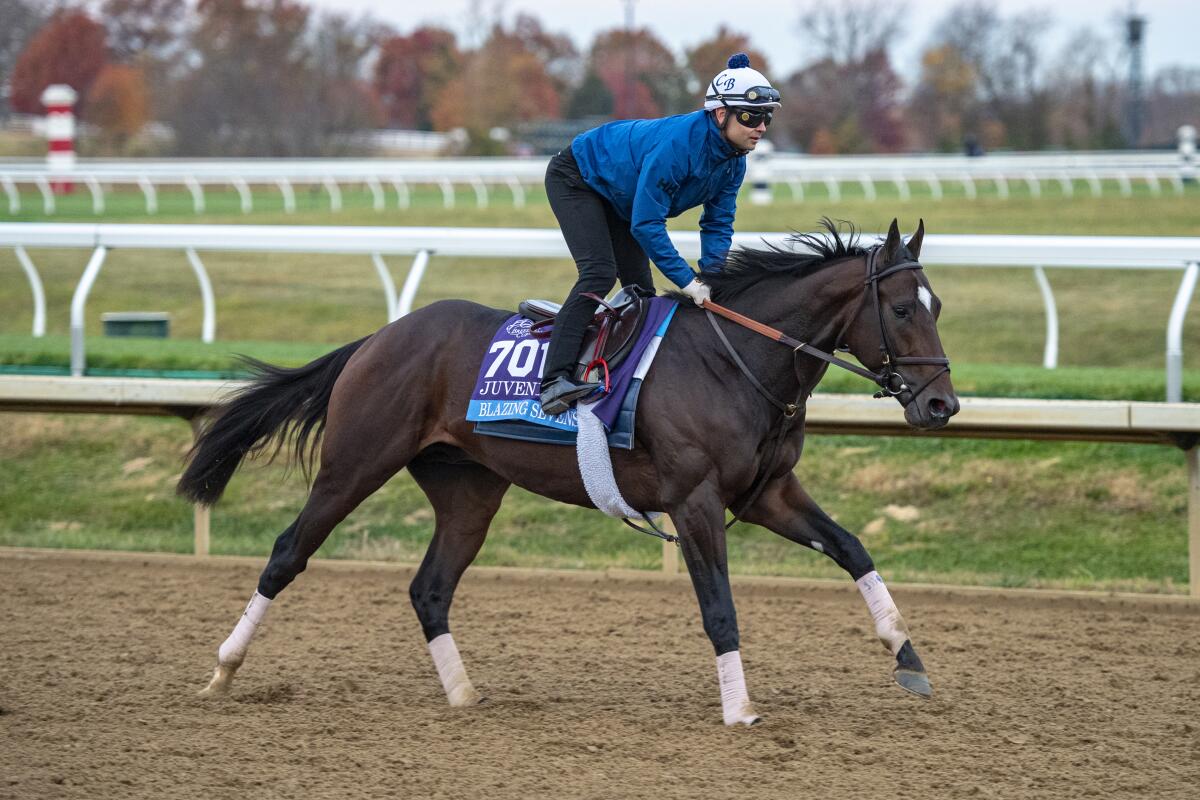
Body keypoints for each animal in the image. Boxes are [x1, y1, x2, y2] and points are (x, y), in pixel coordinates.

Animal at [180, 217, 964, 724]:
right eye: (902, 308)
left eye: (939, 304)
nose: (942, 403)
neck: (735, 361)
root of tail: (379, 336)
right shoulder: (696, 500)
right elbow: (719, 606)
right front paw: (740, 708)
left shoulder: (769, 491)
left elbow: (852, 548)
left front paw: (907, 655)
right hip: (355, 465)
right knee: (288, 553)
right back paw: (221, 670)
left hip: (468, 491)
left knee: (430, 587)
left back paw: (463, 695)